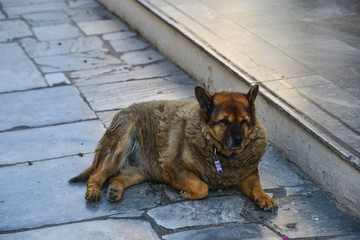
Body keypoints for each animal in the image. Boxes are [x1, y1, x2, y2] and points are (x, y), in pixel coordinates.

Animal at [71, 84, 278, 210]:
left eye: (244, 122)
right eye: (224, 121)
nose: (238, 140)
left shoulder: (248, 175)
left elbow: (256, 186)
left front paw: (264, 197)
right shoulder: (174, 170)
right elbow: (202, 187)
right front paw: (187, 193)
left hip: (140, 172)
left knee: (116, 177)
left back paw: (115, 189)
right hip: (118, 146)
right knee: (95, 177)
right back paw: (93, 192)